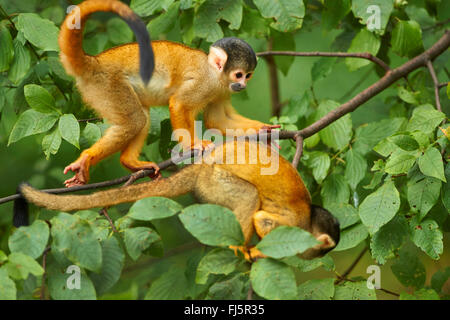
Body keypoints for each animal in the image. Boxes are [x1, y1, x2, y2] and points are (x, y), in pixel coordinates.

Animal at [19, 141, 340, 262]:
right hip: (216, 180)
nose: (316, 257)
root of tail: (201, 168)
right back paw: (239, 248)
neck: (309, 218)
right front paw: (258, 251)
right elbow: (263, 220)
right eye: (321, 249)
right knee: (249, 197)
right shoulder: (293, 225)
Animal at [58, 0, 274, 189]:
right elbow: (178, 103)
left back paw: (129, 161)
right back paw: (86, 158)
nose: (242, 85)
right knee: (134, 121)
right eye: (238, 74)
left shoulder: (221, 91)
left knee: (142, 118)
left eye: (248, 75)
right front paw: (193, 145)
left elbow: (217, 120)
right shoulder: (205, 84)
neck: (216, 75)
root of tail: (93, 62)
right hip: (107, 85)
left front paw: (263, 129)